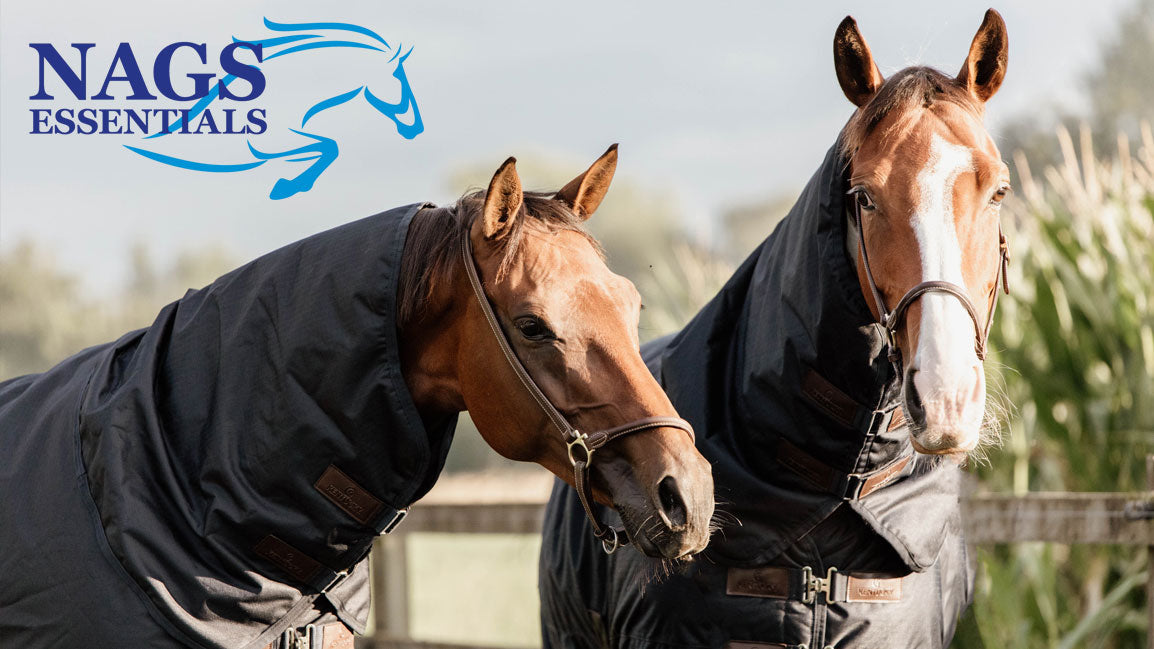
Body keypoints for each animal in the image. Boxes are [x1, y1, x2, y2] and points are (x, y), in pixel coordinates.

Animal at [126, 18, 421, 200]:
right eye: (399, 78)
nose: (416, 128)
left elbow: (327, 146)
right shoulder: (265, 142)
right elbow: (329, 146)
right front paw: (289, 185)